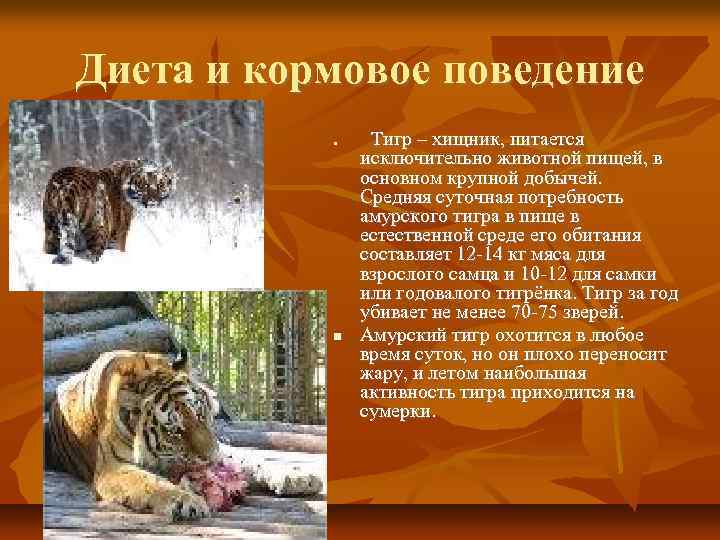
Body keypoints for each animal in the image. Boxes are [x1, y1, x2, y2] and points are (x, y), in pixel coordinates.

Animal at [42, 159, 177, 265]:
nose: (152, 202)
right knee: (91, 256)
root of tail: (67, 182)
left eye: (160, 185)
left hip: (51, 229)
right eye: (145, 185)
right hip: (98, 229)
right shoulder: (118, 237)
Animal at [48, 350, 218, 521]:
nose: (211, 459)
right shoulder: (112, 467)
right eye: (174, 431)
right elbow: (150, 482)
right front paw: (186, 500)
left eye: (200, 414)